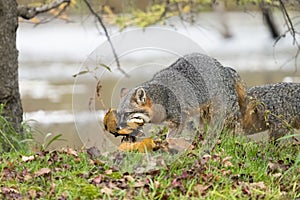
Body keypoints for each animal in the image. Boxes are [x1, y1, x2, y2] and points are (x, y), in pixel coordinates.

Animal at [113, 52, 245, 138]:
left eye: (127, 114)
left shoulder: (180, 120)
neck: (163, 98)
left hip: (224, 113)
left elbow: (170, 139)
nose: (117, 128)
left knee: (236, 126)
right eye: (119, 114)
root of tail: (223, 67)